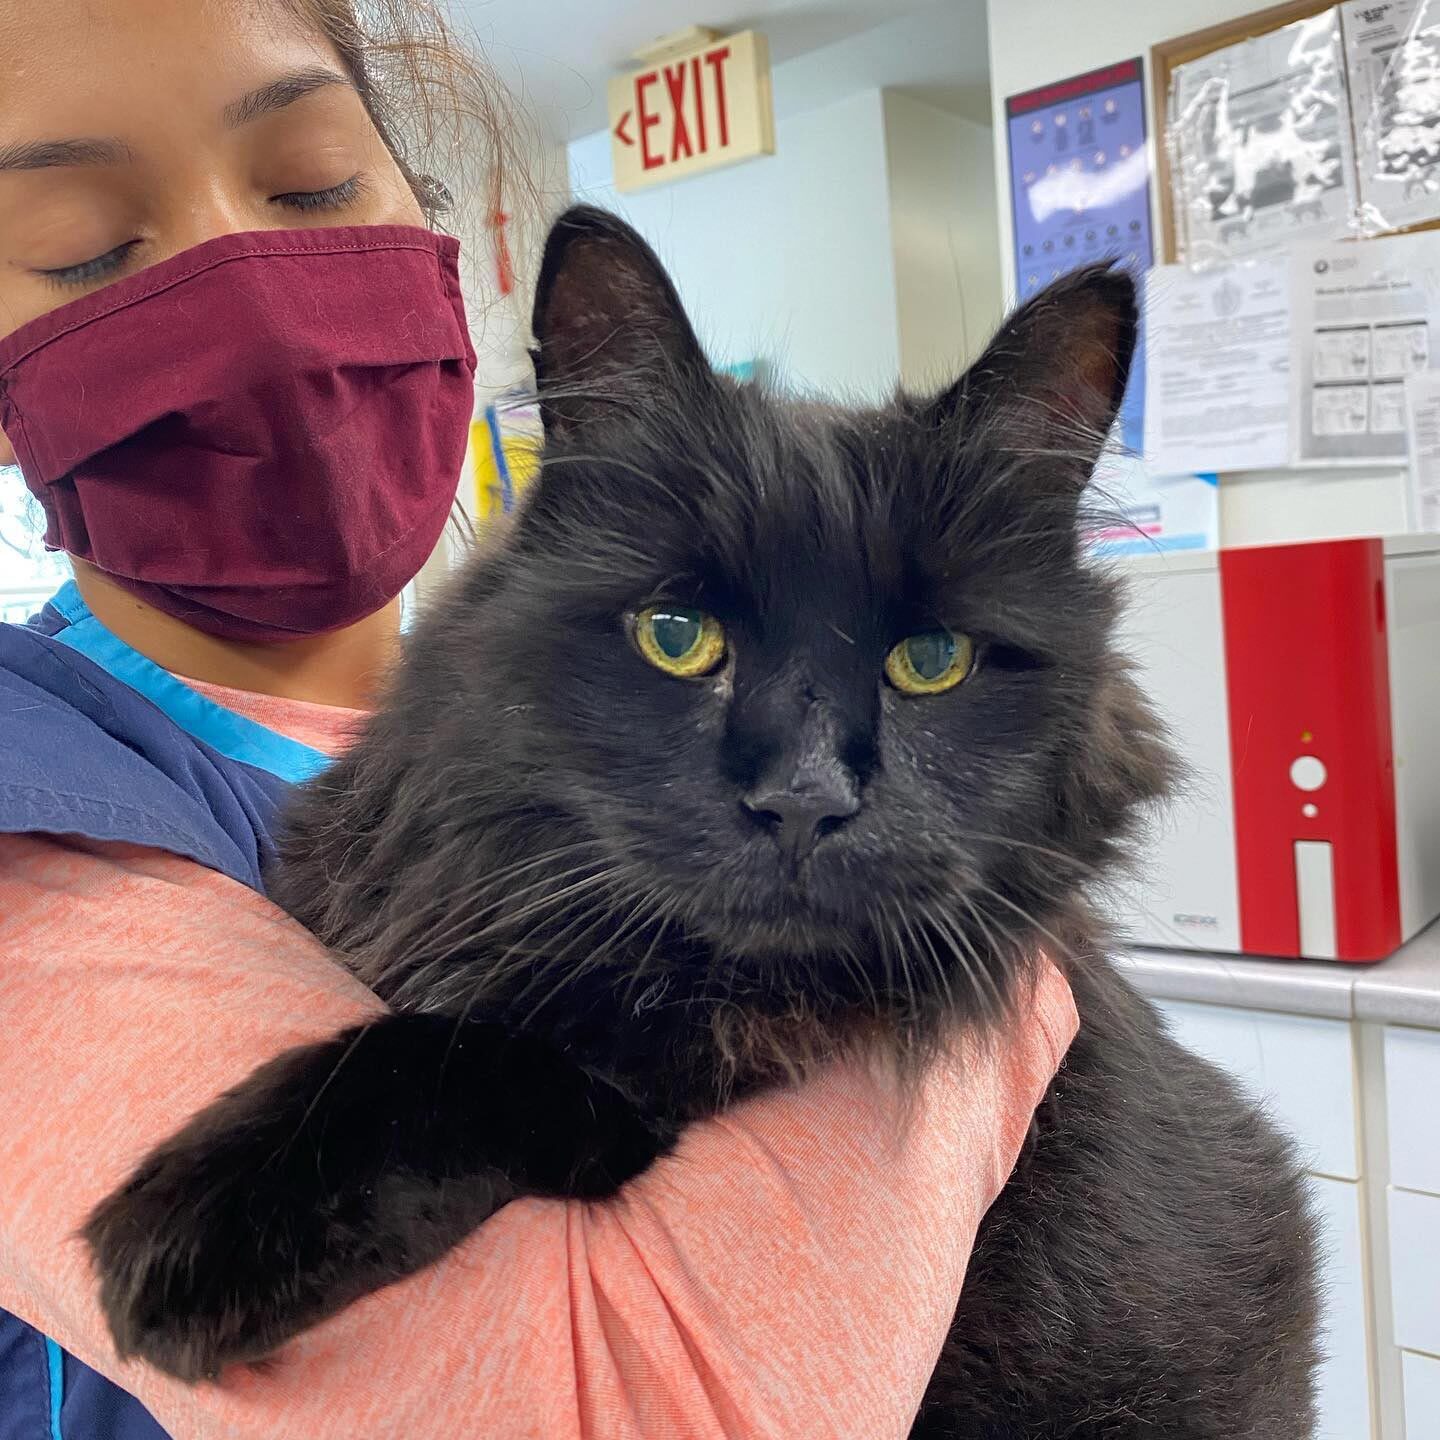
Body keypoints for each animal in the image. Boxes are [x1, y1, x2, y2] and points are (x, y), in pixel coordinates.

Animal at [84, 208, 1319, 1434]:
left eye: (930, 662)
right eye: (677, 637)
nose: (804, 797)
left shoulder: (641, 1093)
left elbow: (454, 1059)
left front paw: (200, 1226)